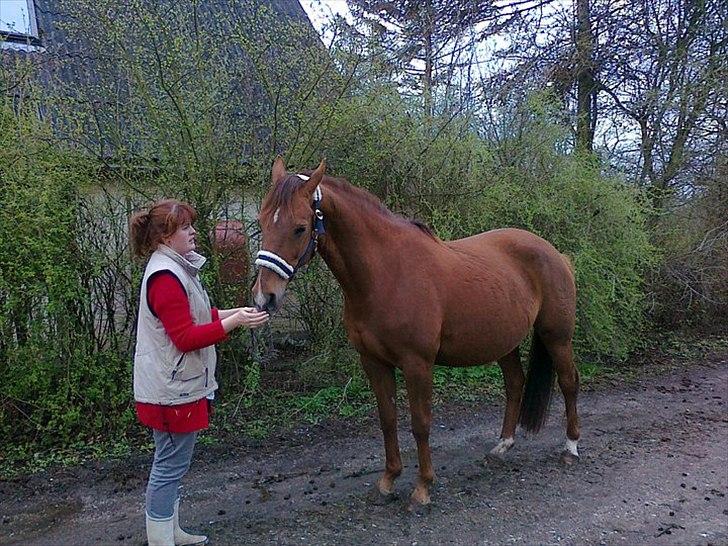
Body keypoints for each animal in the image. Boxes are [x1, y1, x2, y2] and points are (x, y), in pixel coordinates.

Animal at [253, 156, 584, 506]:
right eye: (262, 221)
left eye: (300, 228)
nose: (265, 297)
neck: (386, 274)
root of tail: (556, 254)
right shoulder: (373, 362)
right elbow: (387, 419)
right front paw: (389, 479)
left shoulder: (417, 364)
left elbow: (420, 422)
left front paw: (423, 486)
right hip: (504, 341)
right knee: (515, 384)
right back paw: (503, 446)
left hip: (557, 336)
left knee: (568, 382)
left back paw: (571, 448)